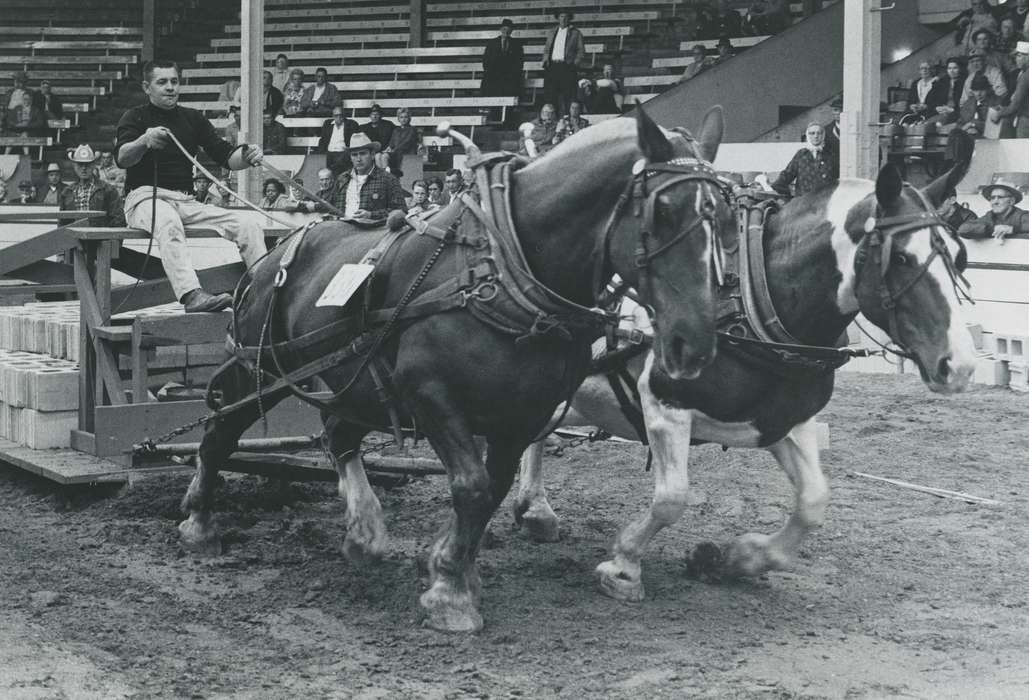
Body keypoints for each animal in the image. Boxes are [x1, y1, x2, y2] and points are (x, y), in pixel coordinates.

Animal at [176, 106, 737, 632]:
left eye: (728, 220)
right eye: (661, 211)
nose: (696, 342)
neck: (501, 272)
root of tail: (271, 256)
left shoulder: (522, 414)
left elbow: (491, 490)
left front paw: (454, 569)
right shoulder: (432, 397)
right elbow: (471, 487)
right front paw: (450, 594)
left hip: (354, 383)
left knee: (337, 433)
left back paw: (364, 534)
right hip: (266, 368)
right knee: (222, 431)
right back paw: (200, 522)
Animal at [513, 162, 977, 602]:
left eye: (959, 256)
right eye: (901, 258)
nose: (961, 365)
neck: (750, 298)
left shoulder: (785, 421)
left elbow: (813, 501)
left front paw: (736, 558)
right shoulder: (664, 404)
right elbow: (671, 498)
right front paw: (624, 567)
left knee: (536, 432)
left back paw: (535, 509)